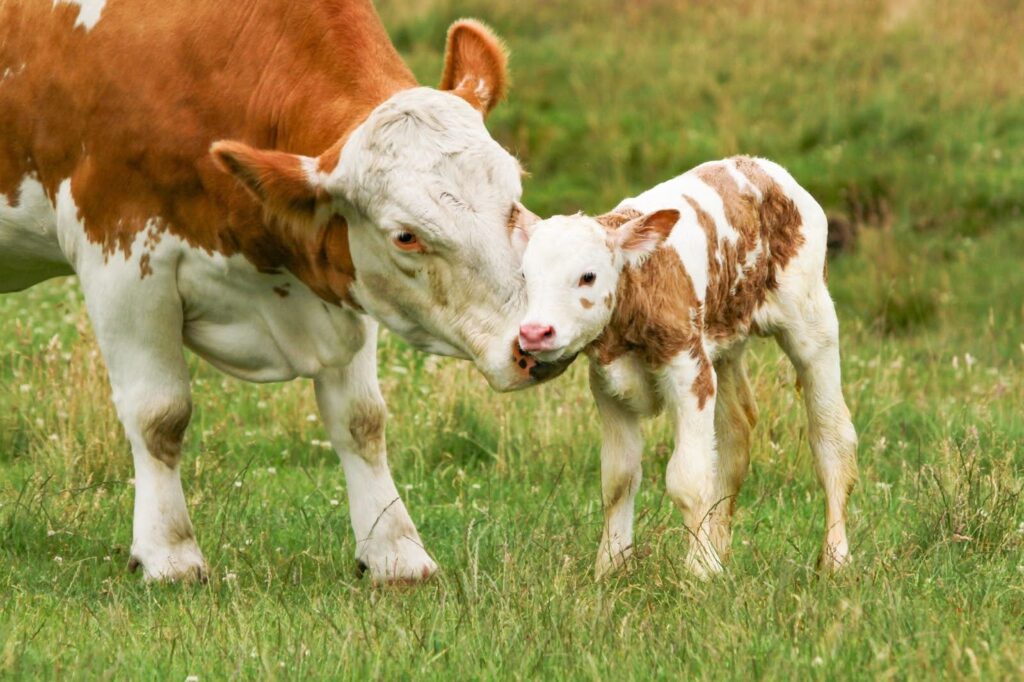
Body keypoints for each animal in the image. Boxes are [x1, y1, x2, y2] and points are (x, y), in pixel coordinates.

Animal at [0, 0, 569, 583]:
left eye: (514, 195)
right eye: (406, 236)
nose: (535, 339)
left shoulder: (342, 284)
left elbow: (361, 419)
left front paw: (394, 551)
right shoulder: (119, 254)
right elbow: (159, 414)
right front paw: (169, 555)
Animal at [513, 157, 858, 578]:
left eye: (588, 276)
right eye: (525, 275)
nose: (535, 332)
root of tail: (762, 166)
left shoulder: (689, 372)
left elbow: (688, 478)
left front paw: (699, 571)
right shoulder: (608, 384)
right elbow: (618, 478)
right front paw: (610, 567)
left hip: (812, 320)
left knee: (832, 437)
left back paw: (836, 558)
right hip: (723, 343)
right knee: (734, 436)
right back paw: (721, 548)